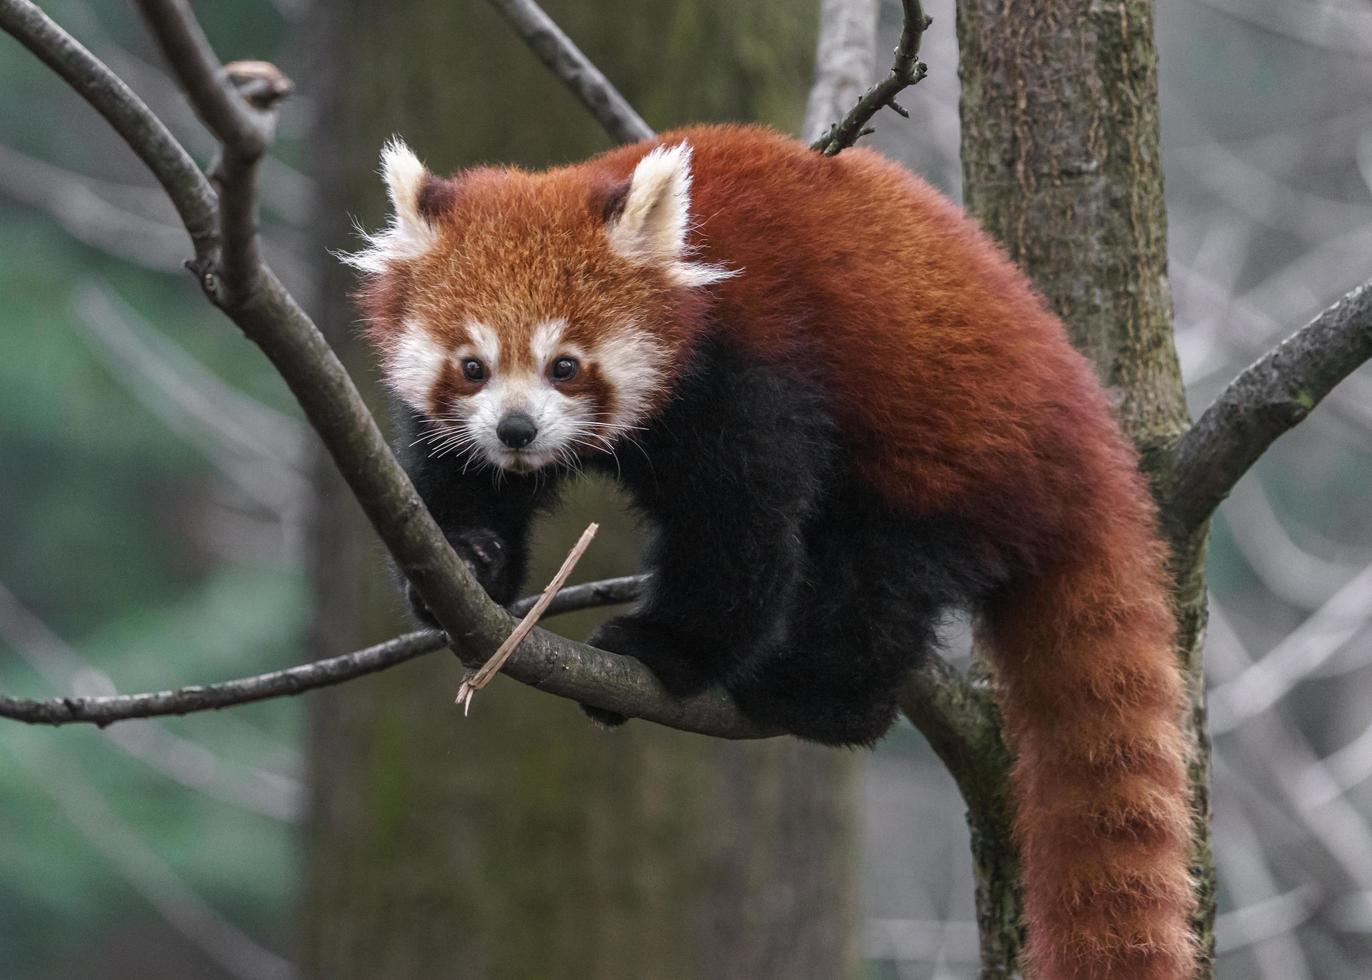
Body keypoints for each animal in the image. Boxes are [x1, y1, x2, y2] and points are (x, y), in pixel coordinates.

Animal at [348, 124, 1196, 977]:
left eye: (565, 364)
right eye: (473, 366)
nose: (517, 430)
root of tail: (1093, 449)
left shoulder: (750, 369)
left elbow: (740, 527)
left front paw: (668, 648)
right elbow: (461, 483)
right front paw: (469, 559)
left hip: (952, 458)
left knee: (876, 577)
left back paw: (820, 691)